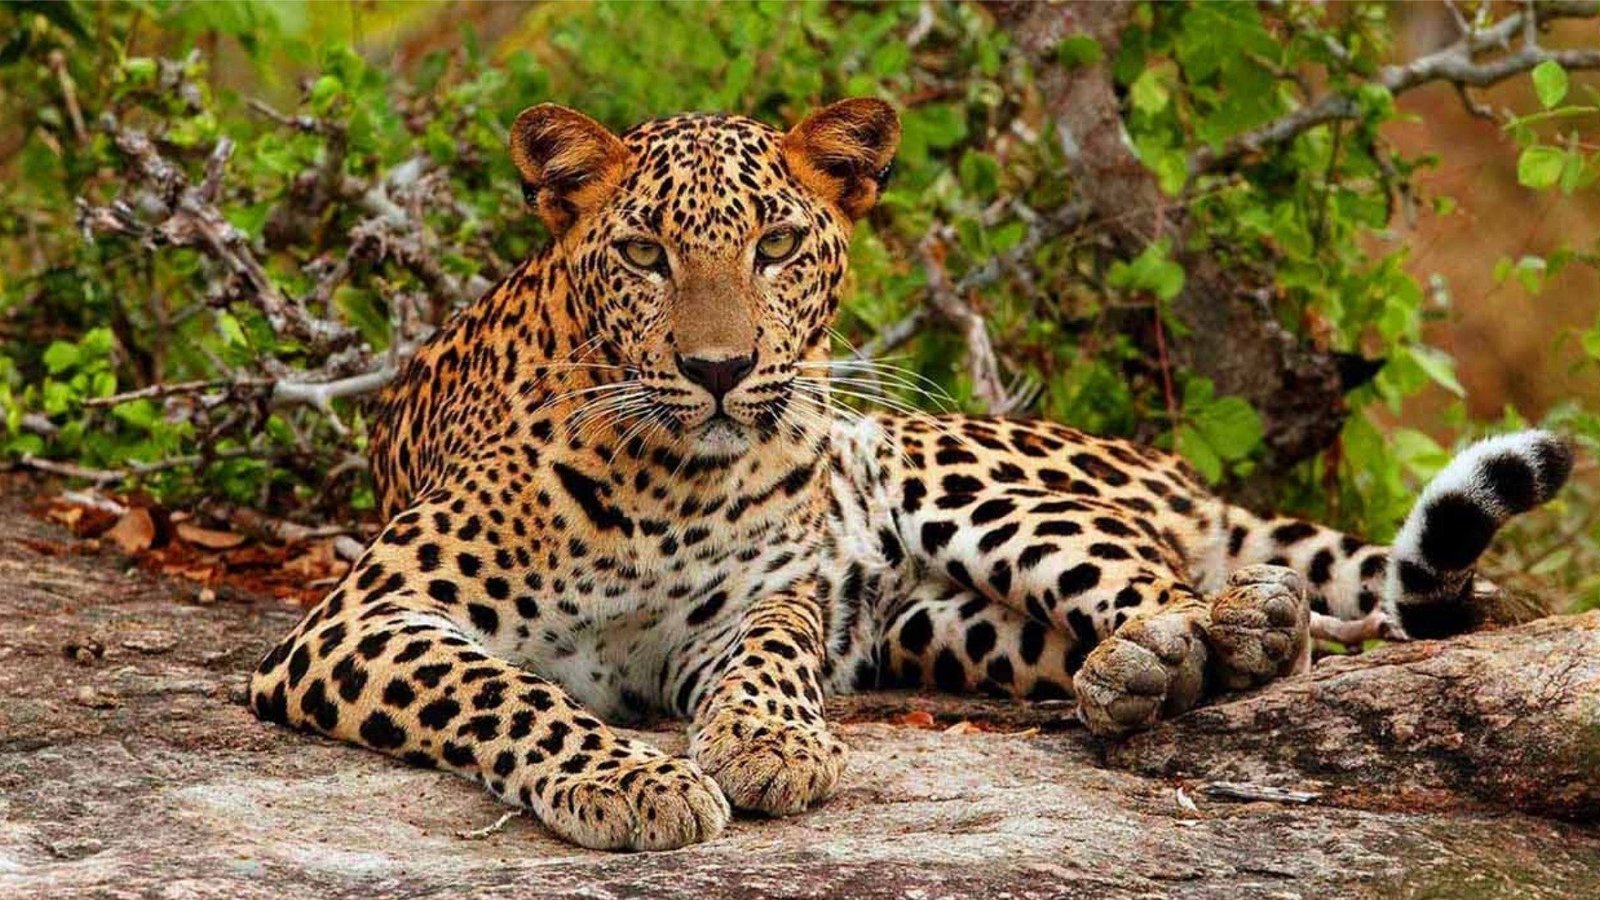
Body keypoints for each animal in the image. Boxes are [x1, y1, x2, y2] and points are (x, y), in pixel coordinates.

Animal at [249, 98, 1574, 851]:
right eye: (644, 253)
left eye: (777, 244)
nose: (722, 370)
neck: (669, 481)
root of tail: (1165, 464)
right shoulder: (358, 620)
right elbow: (507, 693)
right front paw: (629, 779)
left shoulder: (754, 600)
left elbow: (771, 656)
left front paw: (766, 745)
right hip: (937, 627)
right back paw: (1137, 675)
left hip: (949, 471)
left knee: (1185, 586)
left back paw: (1212, 631)